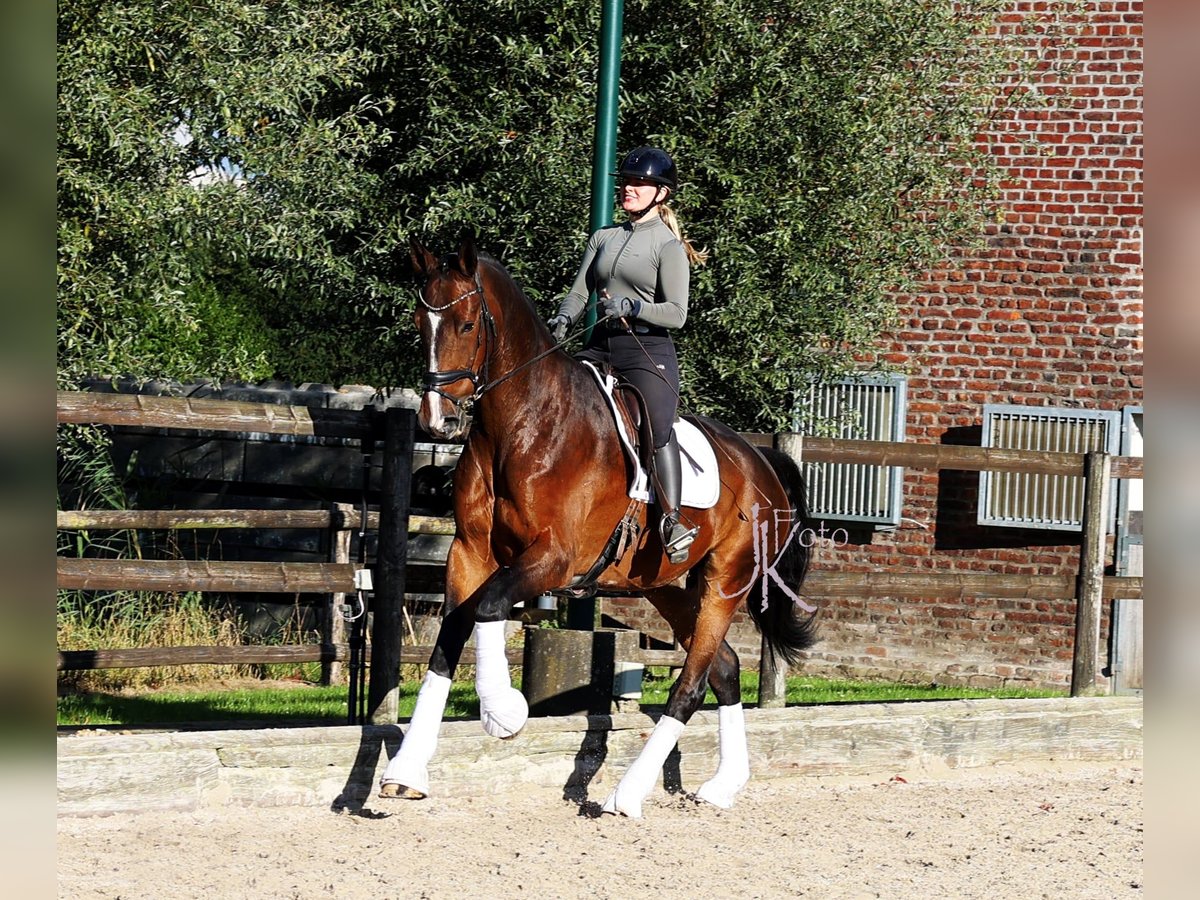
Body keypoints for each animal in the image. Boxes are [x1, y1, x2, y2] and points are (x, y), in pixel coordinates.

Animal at [379, 230, 820, 816]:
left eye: (468, 325)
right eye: (417, 324)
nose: (439, 420)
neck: (521, 424)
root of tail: (761, 463)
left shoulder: (555, 558)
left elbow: (490, 607)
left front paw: (504, 712)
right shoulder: (470, 552)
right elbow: (449, 639)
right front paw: (405, 771)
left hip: (725, 581)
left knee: (691, 684)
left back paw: (626, 795)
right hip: (660, 584)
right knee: (724, 668)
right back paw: (724, 784)